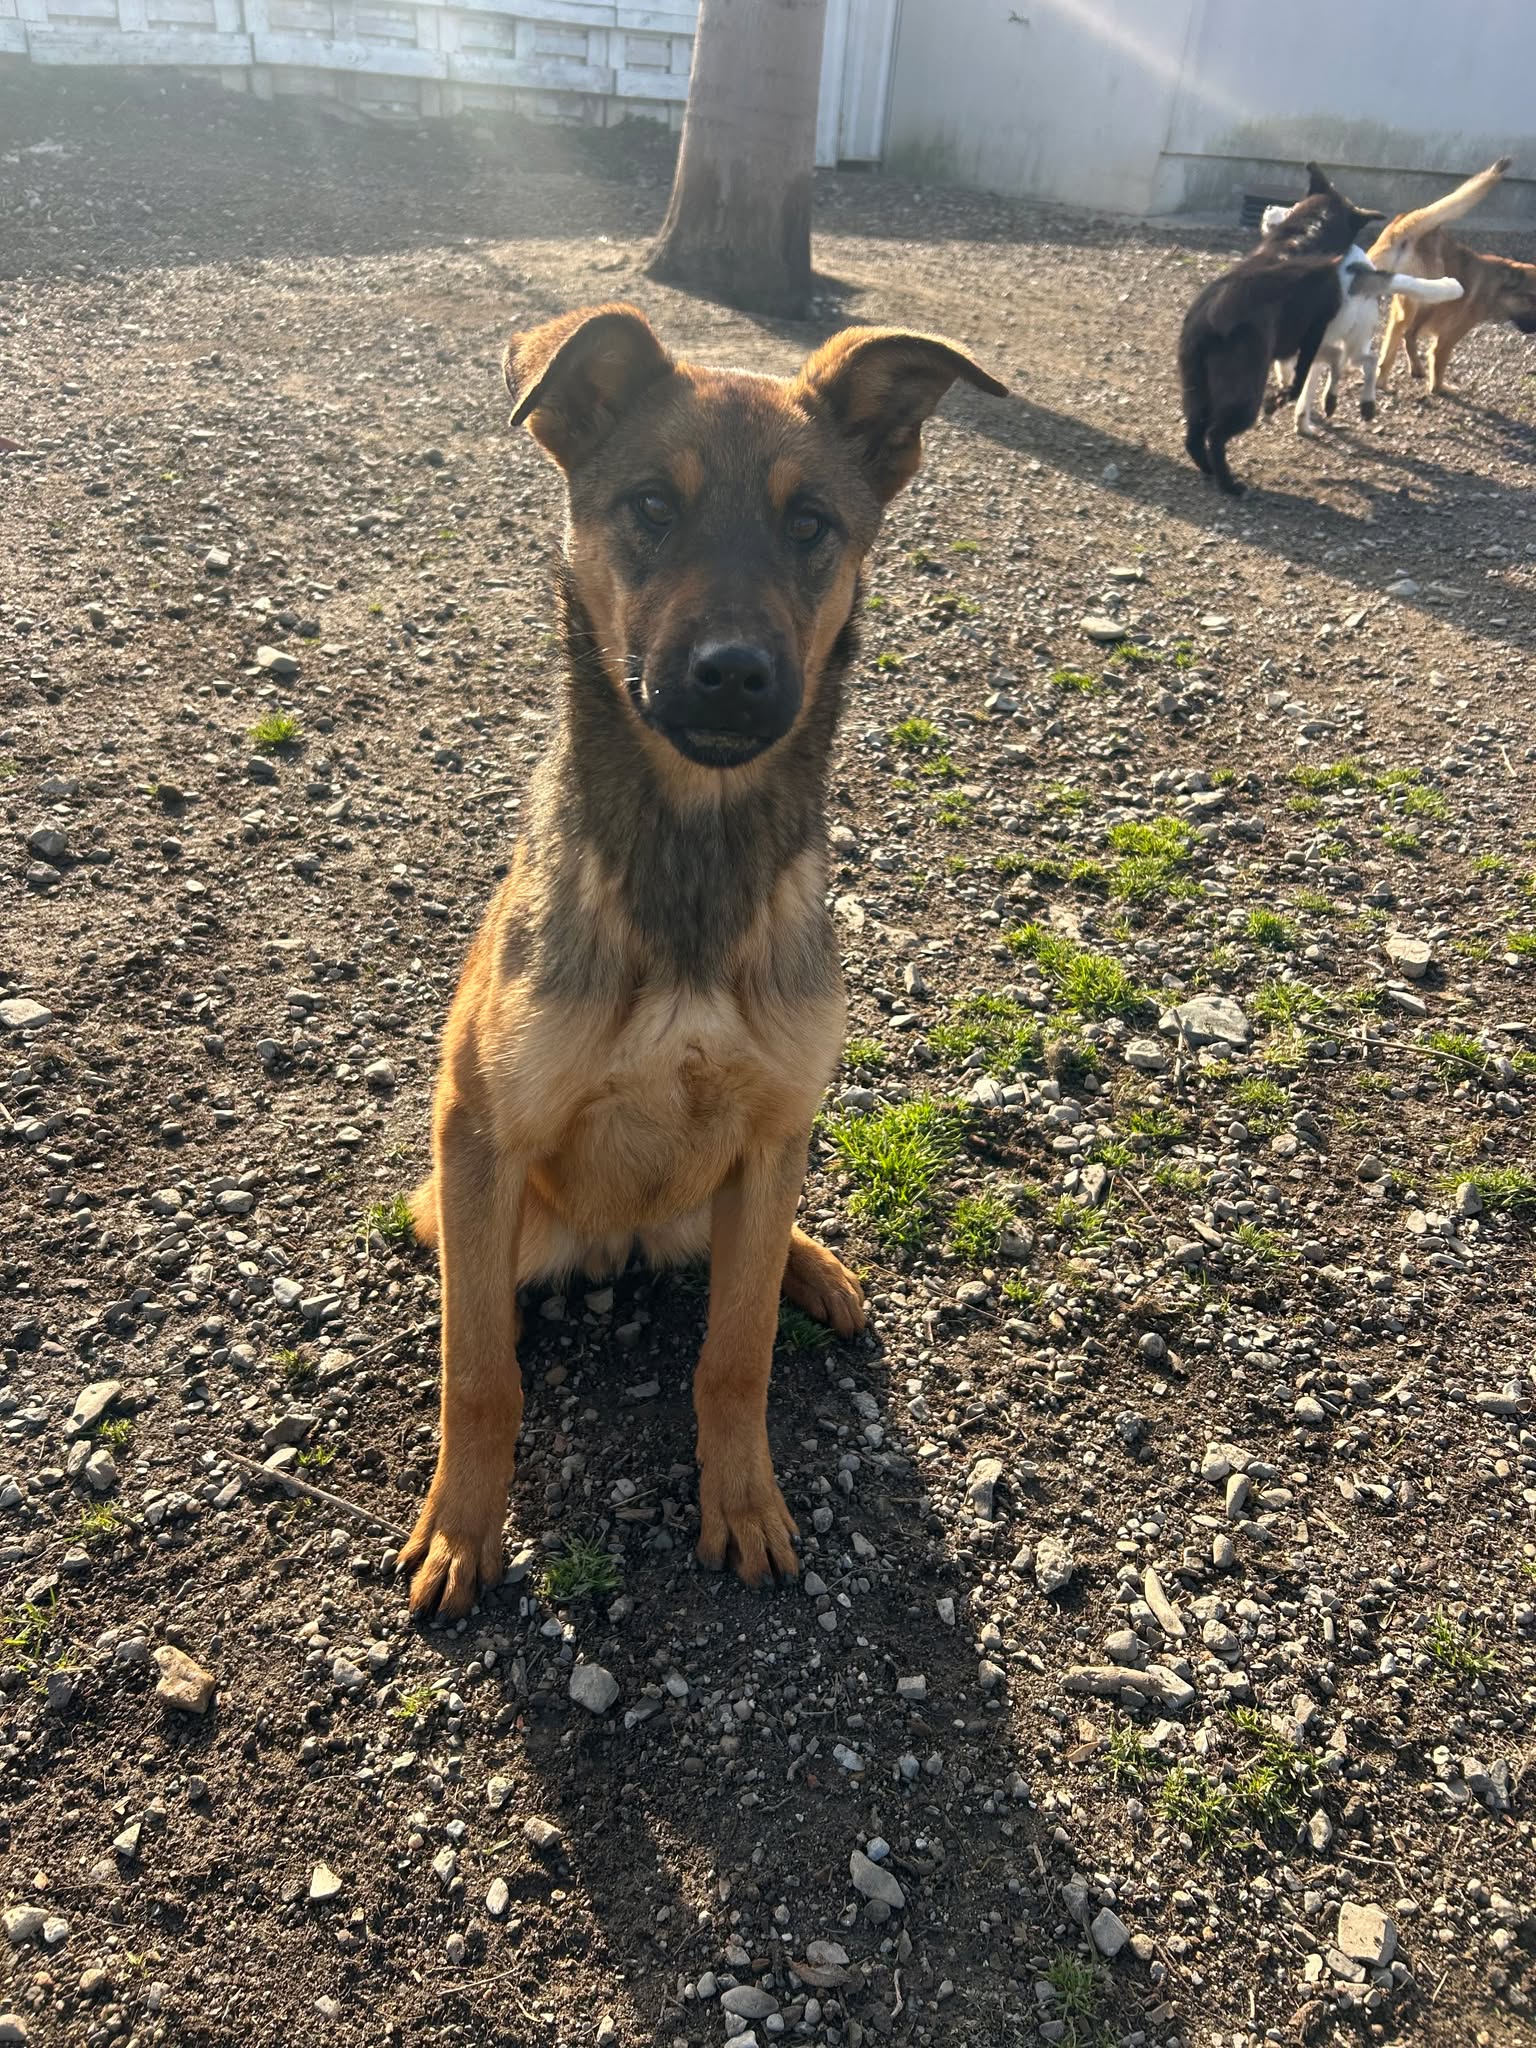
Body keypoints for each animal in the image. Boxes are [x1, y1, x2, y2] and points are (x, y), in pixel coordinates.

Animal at [396, 303, 1005, 1618]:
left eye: (810, 522)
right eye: (649, 506)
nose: (731, 670)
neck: (693, 846)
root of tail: (624, 1241)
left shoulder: (774, 1127)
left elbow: (736, 1353)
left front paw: (744, 1500)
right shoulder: (481, 1127)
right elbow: (479, 1372)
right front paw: (464, 1527)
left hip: (753, 1171)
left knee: (755, 1252)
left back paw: (812, 1266)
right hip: (467, 1197)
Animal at [1179, 164, 1385, 494]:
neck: (1306, 233)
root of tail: (1210, 320)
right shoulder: (1314, 330)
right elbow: (1300, 379)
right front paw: (1281, 398)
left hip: (1195, 388)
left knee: (1194, 435)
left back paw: (1207, 469)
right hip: (1244, 395)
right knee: (1215, 435)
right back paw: (1229, 483)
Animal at [1258, 204, 1462, 434]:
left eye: (1292, 209)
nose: (1269, 206)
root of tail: (1361, 276)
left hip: (1326, 342)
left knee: (1341, 362)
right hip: (1354, 341)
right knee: (1361, 362)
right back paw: (1349, 405)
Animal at [1370, 157, 1536, 394]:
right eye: (1532, 299)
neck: (1495, 286)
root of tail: (1410, 226)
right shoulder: (1448, 338)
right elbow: (1438, 363)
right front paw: (1440, 388)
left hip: (1398, 305)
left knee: (1393, 344)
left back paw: (1384, 381)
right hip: (1428, 298)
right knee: (1407, 333)